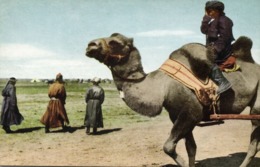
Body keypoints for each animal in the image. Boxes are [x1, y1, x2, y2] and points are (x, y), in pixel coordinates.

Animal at [85, 33, 260, 167]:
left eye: (115, 42)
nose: (90, 45)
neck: (162, 87)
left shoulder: (191, 114)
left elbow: (168, 147)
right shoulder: (178, 115)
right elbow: (191, 148)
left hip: (257, 106)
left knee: (253, 142)